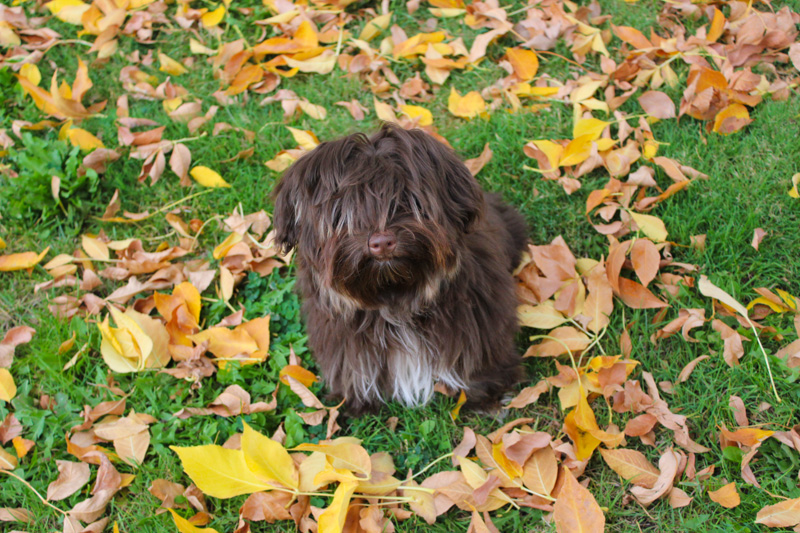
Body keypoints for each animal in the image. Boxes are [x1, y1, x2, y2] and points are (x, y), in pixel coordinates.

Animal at [272, 123, 528, 412]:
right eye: (342, 212)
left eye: (407, 200)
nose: (381, 243)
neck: (394, 301)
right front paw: (357, 402)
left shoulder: (479, 320)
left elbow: (479, 361)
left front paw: (488, 396)